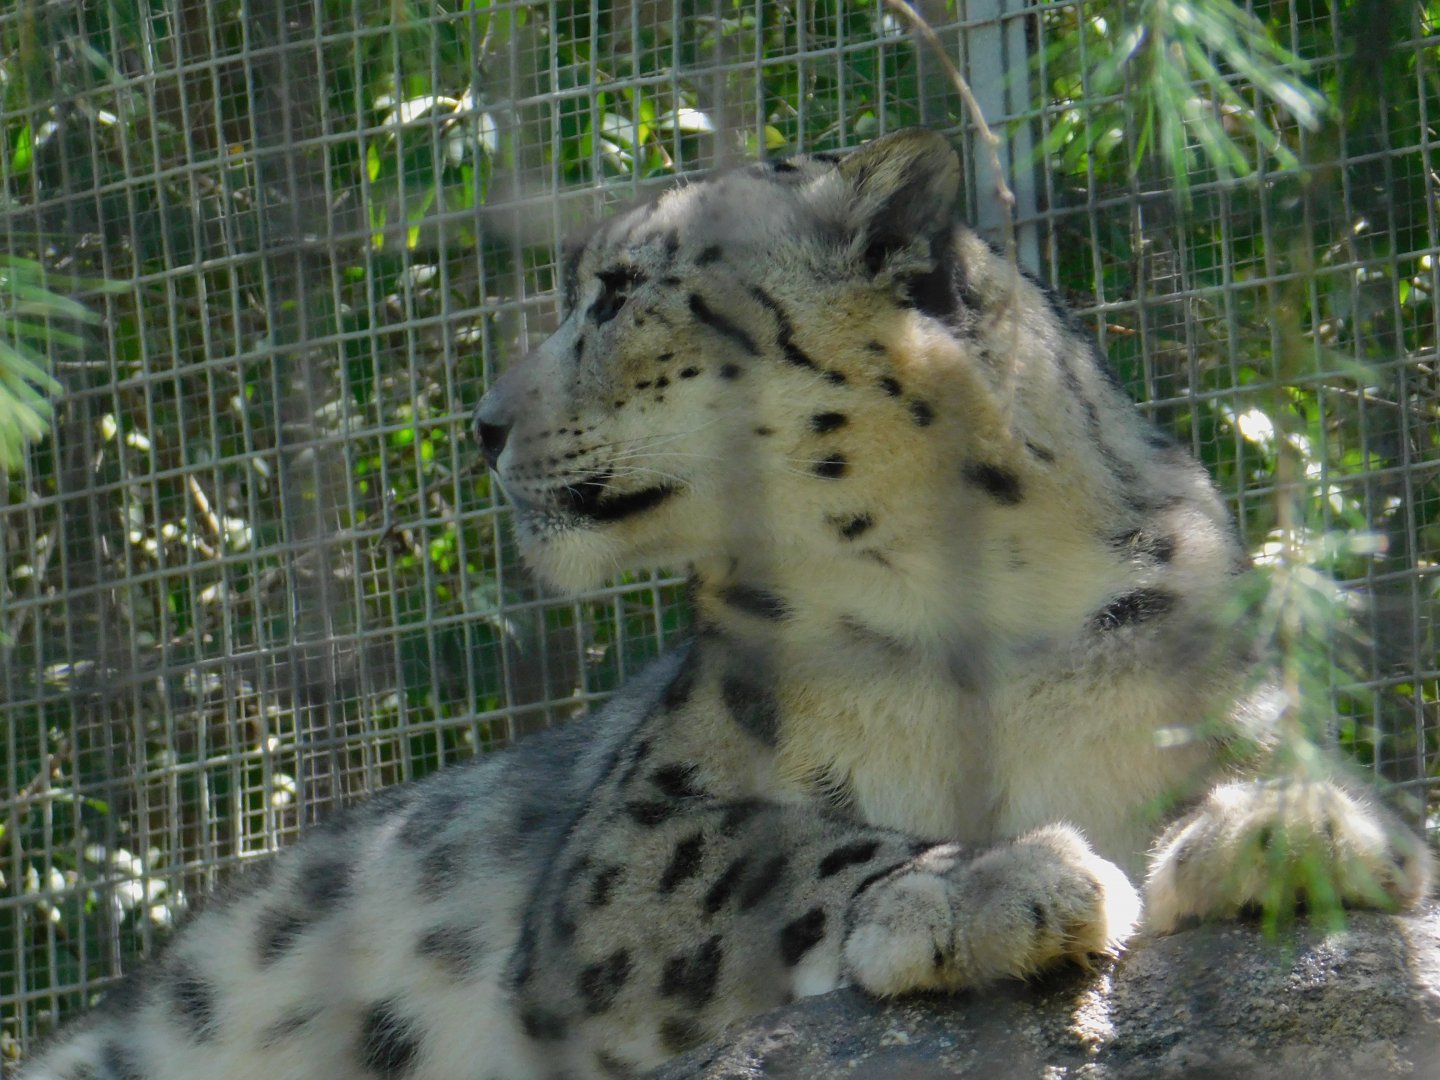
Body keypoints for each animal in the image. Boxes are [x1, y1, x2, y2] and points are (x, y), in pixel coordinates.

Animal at [19, 128, 1431, 1080]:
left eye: (617, 289)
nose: (481, 426)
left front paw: (1297, 826)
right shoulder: (625, 846)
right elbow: (770, 850)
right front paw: (984, 885)